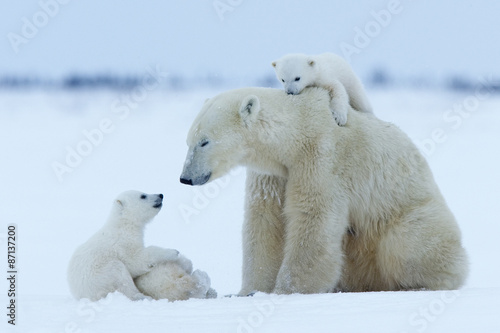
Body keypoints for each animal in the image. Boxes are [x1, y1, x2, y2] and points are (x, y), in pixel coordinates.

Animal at [180, 86, 468, 294]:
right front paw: (248, 291)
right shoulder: (275, 174)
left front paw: (287, 290)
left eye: (204, 141)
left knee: (406, 245)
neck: (295, 131)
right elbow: (265, 221)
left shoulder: (321, 157)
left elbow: (313, 218)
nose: (185, 178)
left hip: (409, 213)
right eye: (188, 141)